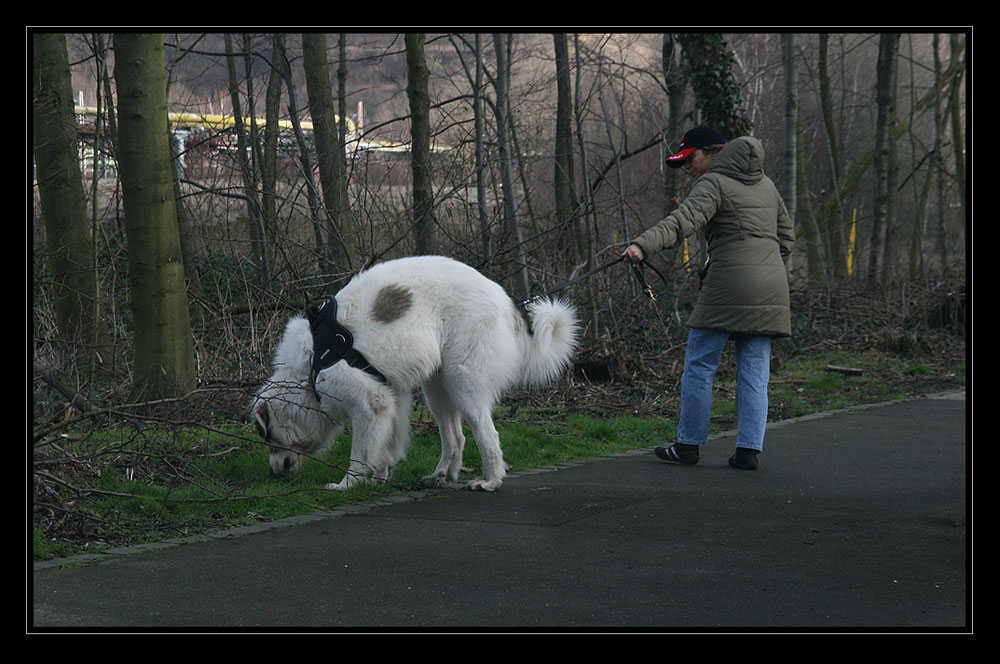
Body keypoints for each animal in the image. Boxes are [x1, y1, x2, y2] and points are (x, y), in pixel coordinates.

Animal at [250, 256, 580, 490]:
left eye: (267, 436)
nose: (273, 472)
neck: (309, 367)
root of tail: (506, 301)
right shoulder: (394, 395)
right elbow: (388, 445)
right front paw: (379, 478)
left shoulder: (370, 402)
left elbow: (361, 453)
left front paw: (348, 484)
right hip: (437, 387)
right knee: (455, 437)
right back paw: (442, 475)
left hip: (463, 383)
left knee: (487, 434)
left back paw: (490, 480)